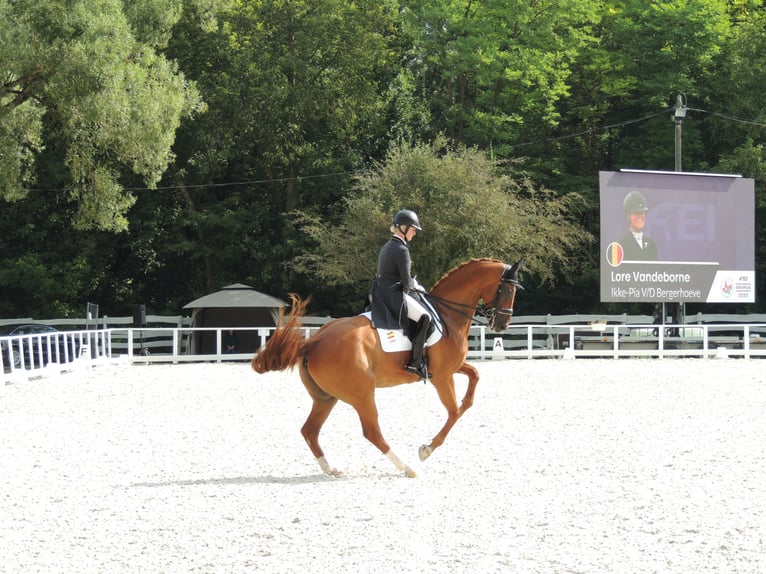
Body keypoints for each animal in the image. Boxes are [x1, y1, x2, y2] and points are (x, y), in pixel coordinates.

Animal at [250, 258, 520, 480]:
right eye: (507, 289)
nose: (502, 324)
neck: (446, 315)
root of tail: (314, 342)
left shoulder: (451, 368)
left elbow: (474, 379)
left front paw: (465, 404)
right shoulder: (442, 377)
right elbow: (454, 412)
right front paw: (426, 449)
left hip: (326, 398)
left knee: (310, 430)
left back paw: (331, 469)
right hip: (362, 395)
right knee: (371, 432)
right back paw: (407, 468)